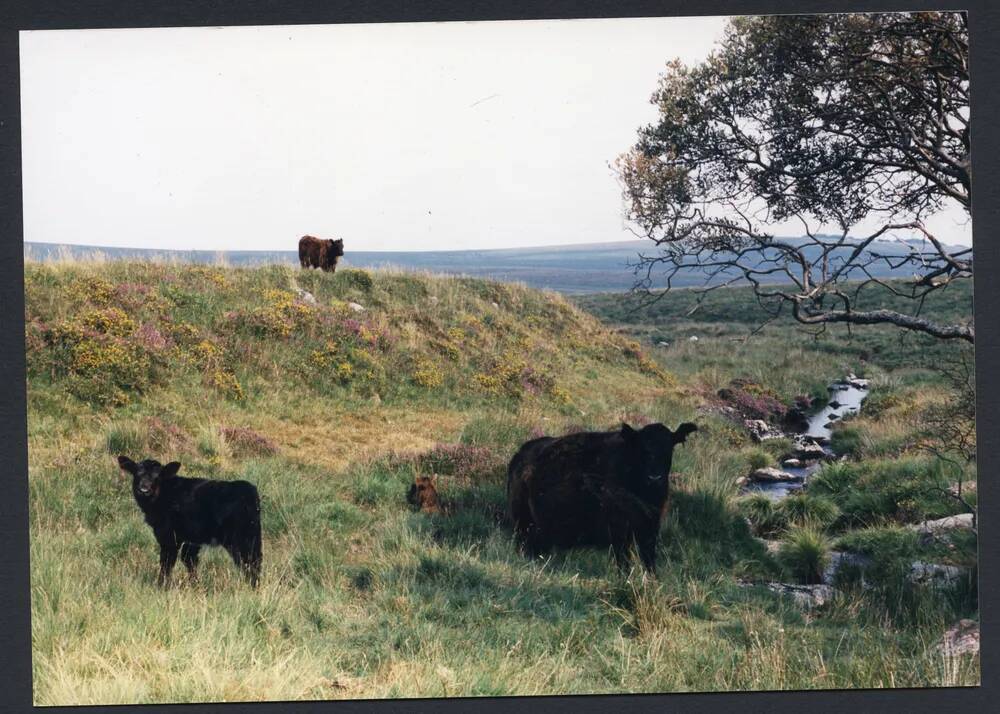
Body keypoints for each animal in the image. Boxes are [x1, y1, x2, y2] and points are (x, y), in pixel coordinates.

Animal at [508, 420, 696, 572]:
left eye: (669, 448)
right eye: (642, 449)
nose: (654, 477)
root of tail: (521, 454)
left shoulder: (649, 529)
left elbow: (649, 562)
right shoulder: (619, 531)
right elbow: (624, 563)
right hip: (524, 525)